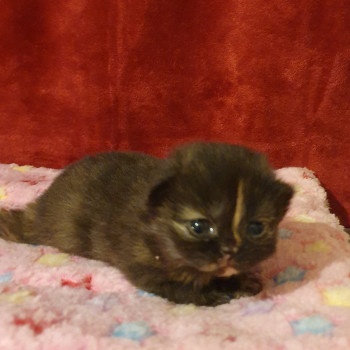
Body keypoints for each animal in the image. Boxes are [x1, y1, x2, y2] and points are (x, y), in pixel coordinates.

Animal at [0, 142, 294, 306]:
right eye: (199, 227)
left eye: (255, 228)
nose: (230, 251)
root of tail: (39, 208)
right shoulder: (140, 263)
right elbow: (172, 285)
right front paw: (208, 294)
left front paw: (239, 281)